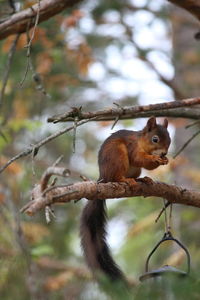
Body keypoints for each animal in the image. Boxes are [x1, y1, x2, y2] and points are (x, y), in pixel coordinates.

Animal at [80, 116, 171, 282]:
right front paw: (155, 158)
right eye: (155, 139)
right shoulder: (132, 147)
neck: (142, 142)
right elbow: (138, 158)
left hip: (135, 170)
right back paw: (125, 180)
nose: (164, 153)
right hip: (118, 155)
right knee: (116, 177)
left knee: (136, 175)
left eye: (169, 139)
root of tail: (103, 178)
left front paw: (164, 160)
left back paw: (143, 180)